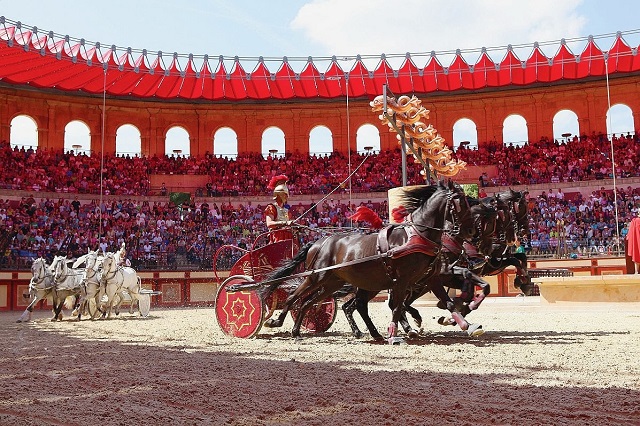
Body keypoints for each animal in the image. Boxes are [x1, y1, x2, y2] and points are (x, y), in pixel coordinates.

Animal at [260, 181, 476, 342]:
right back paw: (277, 322)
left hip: (336, 283)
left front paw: (468, 325)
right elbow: (397, 307)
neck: (417, 235)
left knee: (312, 303)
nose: (470, 231)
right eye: (461, 202)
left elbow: (448, 303)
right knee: (295, 297)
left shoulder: (431, 279)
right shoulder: (402, 281)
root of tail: (318, 242)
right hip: (317, 277)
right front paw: (395, 334)